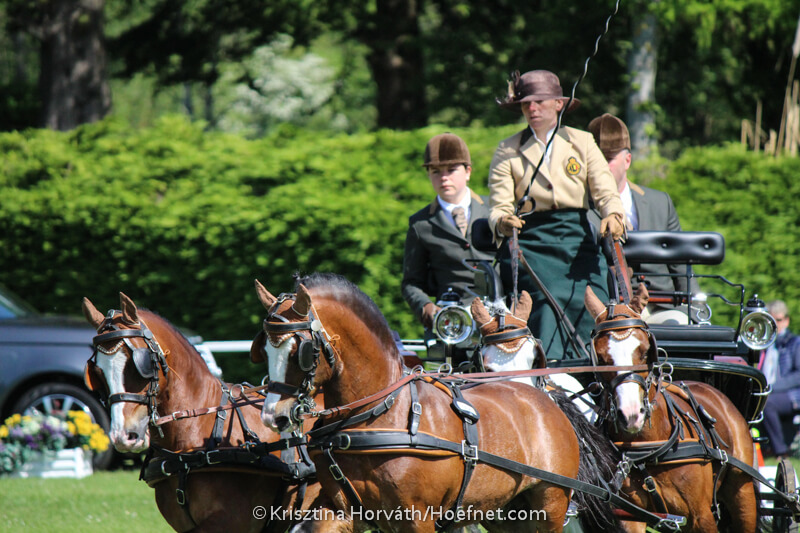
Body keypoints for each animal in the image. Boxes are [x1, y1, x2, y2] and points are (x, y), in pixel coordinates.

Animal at [251, 272, 622, 533]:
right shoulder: (342, 509)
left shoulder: (417, 516)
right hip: (507, 512)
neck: (377, 416)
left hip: (550, 504)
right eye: (264, 348)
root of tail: (545, 398)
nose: (273, 416)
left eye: (301, 350)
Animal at [584, 283, 758, 532]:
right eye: (600, 357)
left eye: (645, 351)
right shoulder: (629, 516)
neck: (648, 447)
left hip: (742, 493)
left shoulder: (701, 516)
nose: (631, 415)